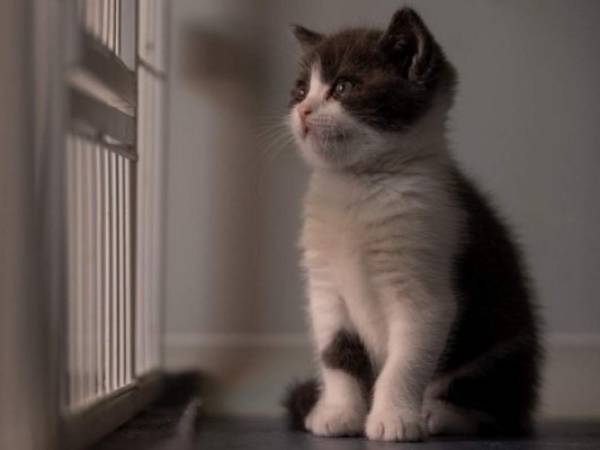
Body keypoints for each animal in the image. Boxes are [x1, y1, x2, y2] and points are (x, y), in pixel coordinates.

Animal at [284, 7, 540, 442]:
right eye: (301, 91)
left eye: (343, 87)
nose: (303, 111)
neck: (356, 185)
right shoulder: (325, 288)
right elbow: (337, 354)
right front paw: (338, 412)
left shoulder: (424, 289)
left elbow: (405, 362)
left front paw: (394, 418)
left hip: (500, 350)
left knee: (494, 407)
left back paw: (437, 414)